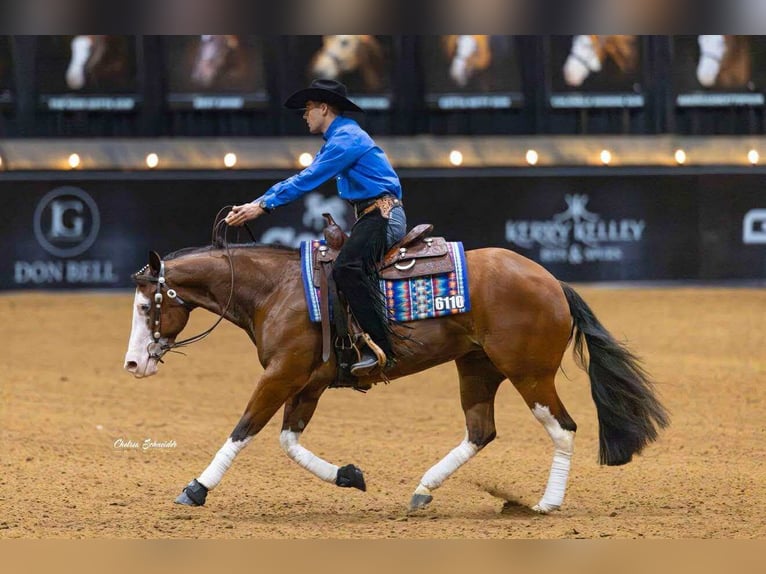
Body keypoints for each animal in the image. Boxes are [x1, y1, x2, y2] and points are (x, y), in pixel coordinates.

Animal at [123, 236, 669, 514]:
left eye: (148, 306)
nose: (133, 364)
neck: (277, 290)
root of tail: (552, 281)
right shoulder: (308, 382)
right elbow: (288, 441)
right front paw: (349, 475)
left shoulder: (281, 375)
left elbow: (244, 429)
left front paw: (196, 488)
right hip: (477, 368)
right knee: (481, 431)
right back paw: (424, 489)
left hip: (529, 373)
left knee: (563, 428)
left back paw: (547, 503)